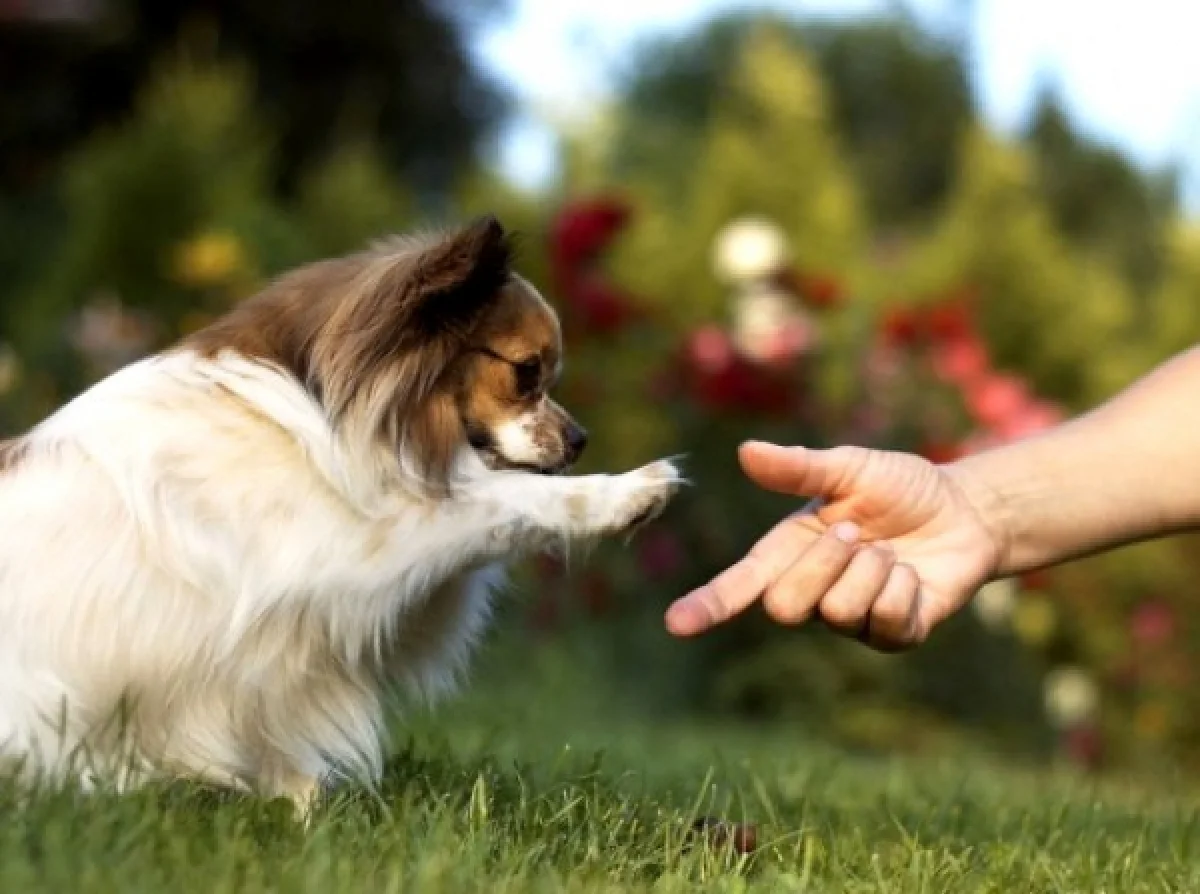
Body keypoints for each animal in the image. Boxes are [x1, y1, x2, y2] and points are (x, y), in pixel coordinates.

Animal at [0, 214, 681, 811]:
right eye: (526, 373)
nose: (580, 440)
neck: (317, 404)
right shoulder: (361, 552)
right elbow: (509, 499)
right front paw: (630, 492)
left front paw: (304, 817)